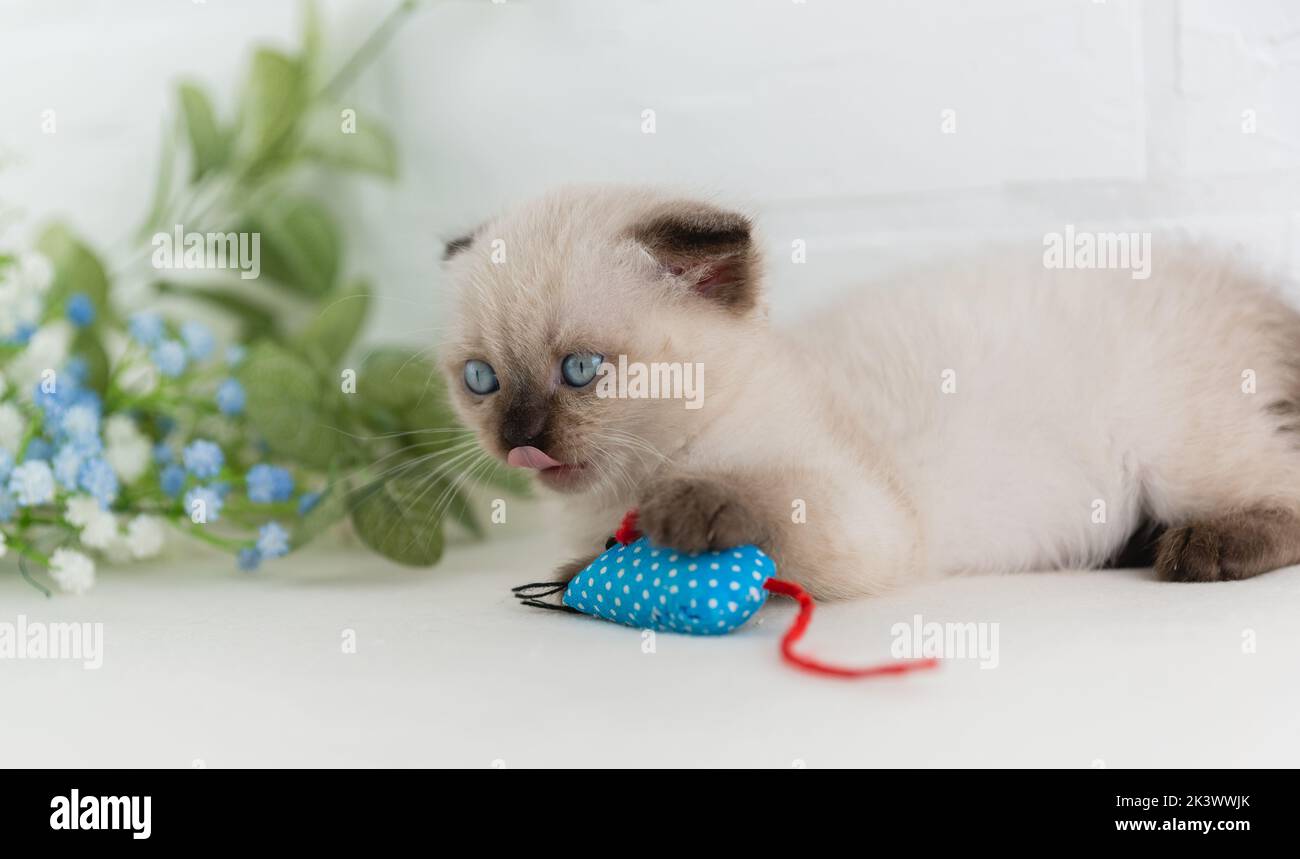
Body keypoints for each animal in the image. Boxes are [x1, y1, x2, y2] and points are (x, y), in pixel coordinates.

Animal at [439, 183, 1300, 595]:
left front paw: (691, 511)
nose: (518, 435)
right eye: (482, 379)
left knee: (1281, 492)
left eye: (580, 370)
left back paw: (1200, 549)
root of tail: (1251, 292)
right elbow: (593, 557)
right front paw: (581, 573)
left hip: (1179, 451)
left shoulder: (874, 522)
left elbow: (776, 501)